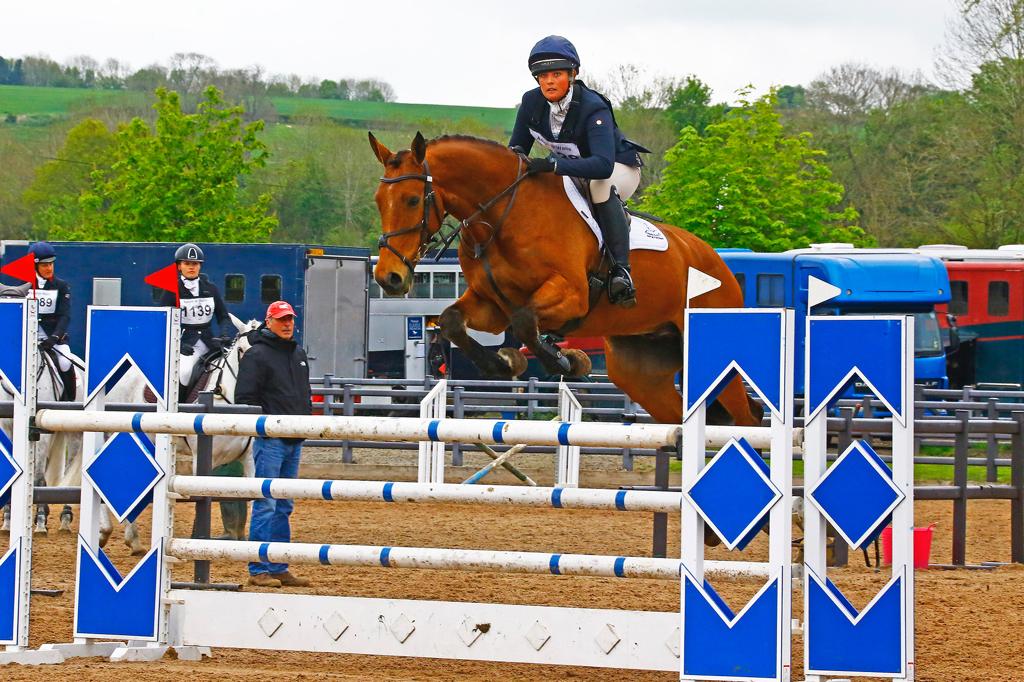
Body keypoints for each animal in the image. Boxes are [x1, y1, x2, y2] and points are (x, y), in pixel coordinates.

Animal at [368, 132, 762, 428]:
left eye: (413, 199)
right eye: (378, 201)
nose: (389, 278)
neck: (503, 215)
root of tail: (719, 264)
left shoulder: (572, 296)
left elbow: (526, 322)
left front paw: (566, 361)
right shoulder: (492, 305)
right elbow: (452, 321)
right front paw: (504, 364)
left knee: (747, 420)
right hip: (641, 370)